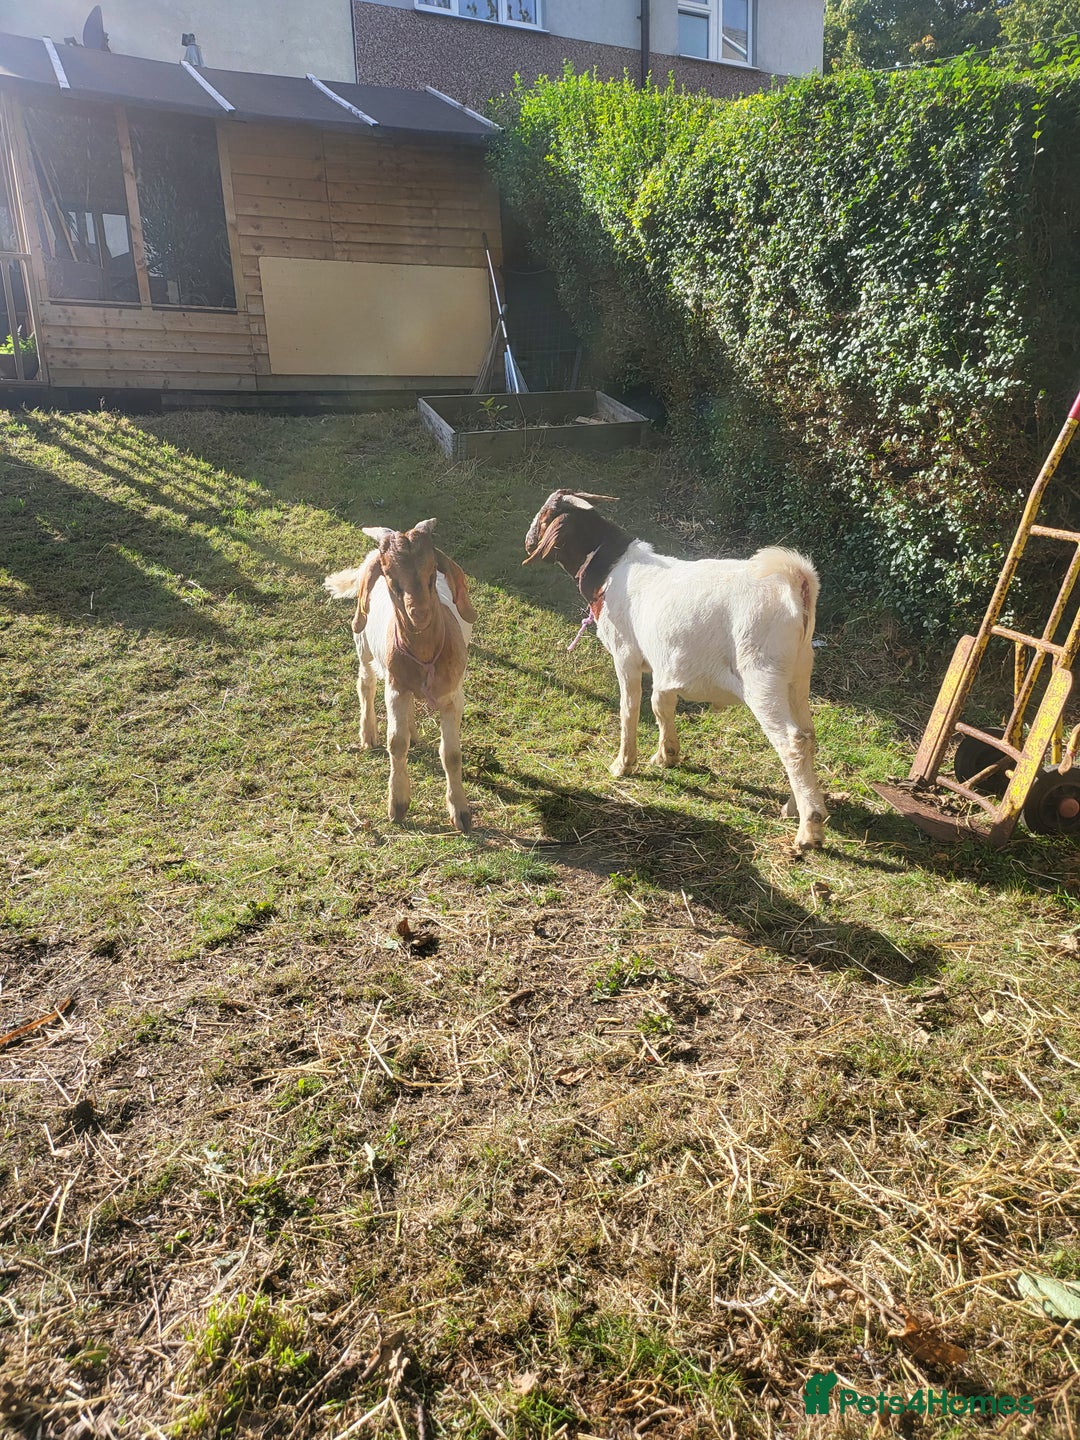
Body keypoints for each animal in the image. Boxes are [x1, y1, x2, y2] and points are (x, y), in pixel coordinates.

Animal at [324, 519, 477, 833]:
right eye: (392, 579)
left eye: (432, 575)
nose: (418, 613)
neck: (426, 655)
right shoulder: (395, 690)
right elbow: (396, 743)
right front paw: (398, 805)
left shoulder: (453, 696)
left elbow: (451, 754)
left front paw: (461, 813)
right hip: (364, 644)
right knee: (366, 683)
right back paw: (368, 733)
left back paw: (413, 731)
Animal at [524, 491, 827, 850]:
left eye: (545, 515)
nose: (528, 538)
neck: (611, 569)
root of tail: (796, 584)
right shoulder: (664, 662)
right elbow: (661, 704)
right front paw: (666, 755)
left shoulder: (626, 656)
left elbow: (630, 709)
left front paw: (623, 764)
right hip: (797, 675)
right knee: (807, 735)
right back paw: (795, 806)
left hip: (762, 678)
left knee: (791, 741)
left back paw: (809, 830)